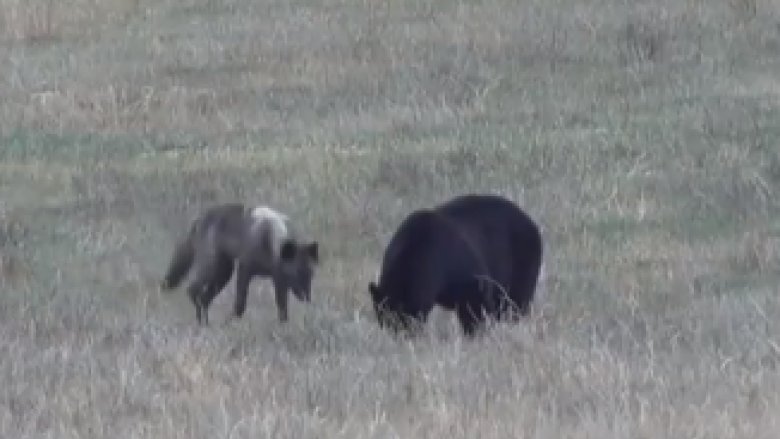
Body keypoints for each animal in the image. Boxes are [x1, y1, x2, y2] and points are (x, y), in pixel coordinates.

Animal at [161, 202, 319, 325]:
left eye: (310, 274)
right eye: (295, 274)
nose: (307, 298)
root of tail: (202, 216)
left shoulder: (279, 281)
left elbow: (282, 310)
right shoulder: (245, 270)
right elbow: (240, 305)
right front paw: (229, 324)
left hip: (224, 273)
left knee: (204, 298)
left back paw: (206, 325)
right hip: (213, 268)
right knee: (192, 290)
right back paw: (202, 323)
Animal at [368, 193, 543, 337]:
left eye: (403, 320)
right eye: (383, 321)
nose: (399, 336)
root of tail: (531, 222)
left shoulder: (460, 266)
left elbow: (477, 299)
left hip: (523, 261)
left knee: (515, 302)